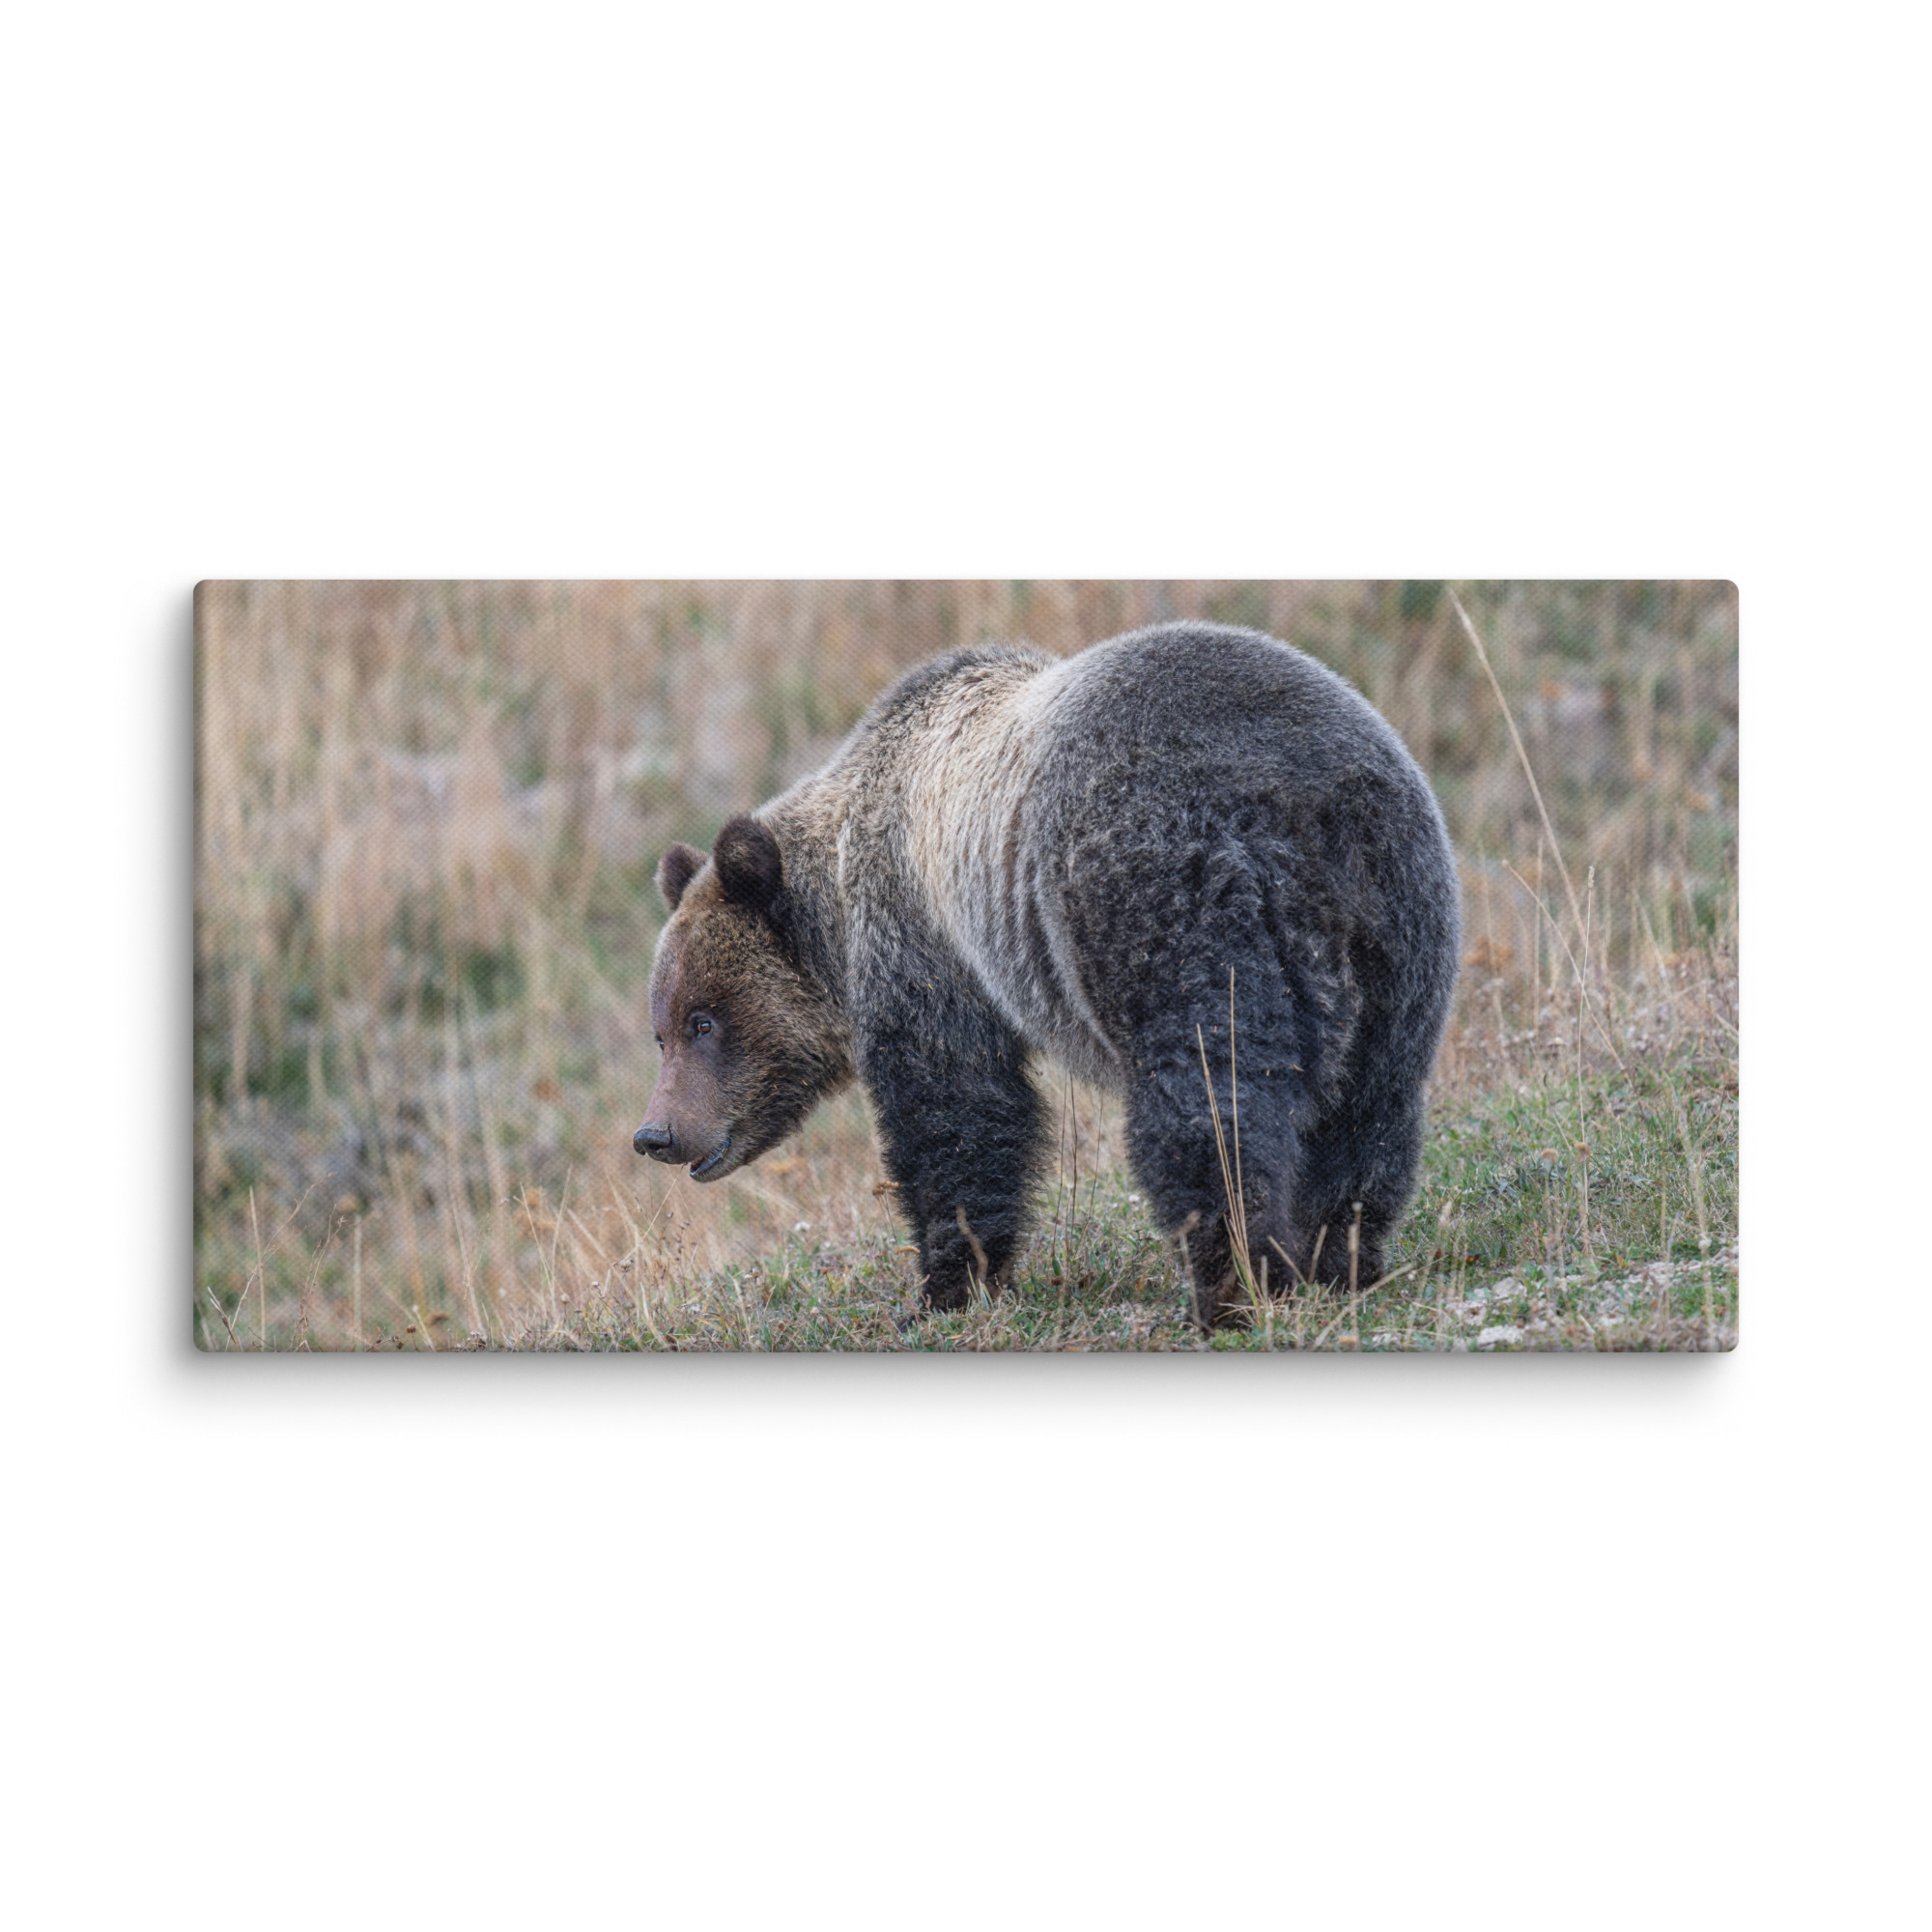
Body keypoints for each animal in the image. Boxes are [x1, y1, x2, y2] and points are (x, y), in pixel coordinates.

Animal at [633, 620, 1461, 1327]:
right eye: (661, 1030)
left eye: (704, 1020)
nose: (656, 1133)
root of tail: (1302, 800)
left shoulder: (925, 942)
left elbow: (956, 1110)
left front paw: (946, 1286)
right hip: (1399, 923)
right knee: (1370, 1105)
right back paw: (1338, 1260)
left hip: (1167, 897)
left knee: (1209, 1101)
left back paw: (1232, 1285)